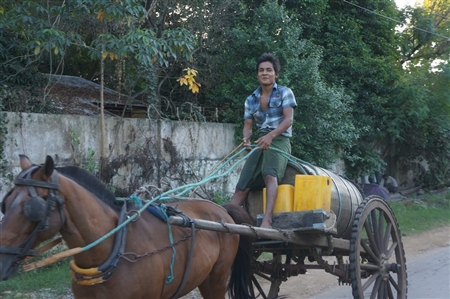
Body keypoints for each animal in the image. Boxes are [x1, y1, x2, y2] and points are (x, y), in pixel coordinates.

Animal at [0, 156, 253, 298]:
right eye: (6, 202)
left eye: (32, 208)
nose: (1, 259)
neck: (113, 249)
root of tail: (221, 210)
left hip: (216, 279)